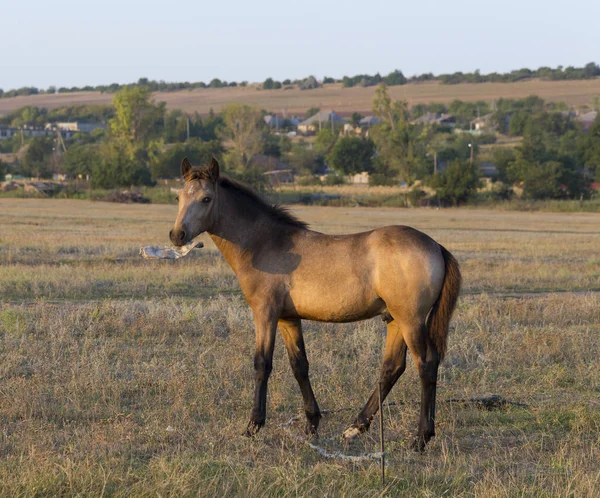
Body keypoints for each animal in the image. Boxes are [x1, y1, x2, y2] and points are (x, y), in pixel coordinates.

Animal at [171, 157, 462, 452]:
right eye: (179, 196)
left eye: (206, 198)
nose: (177, 235)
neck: (264, 244)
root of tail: (436, 246)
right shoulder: (288, 318)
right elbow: (299, 365)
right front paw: (312, 424)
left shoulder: (265, 313)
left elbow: (262, 364)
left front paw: (253, 426)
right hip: (395, 320)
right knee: (392, 368)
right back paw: (356, 427)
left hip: (411, 320)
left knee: (425, 364)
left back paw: (420, 438)